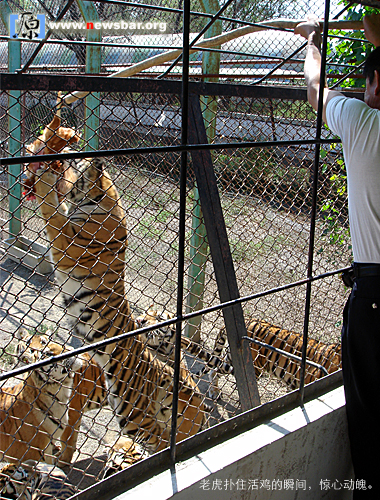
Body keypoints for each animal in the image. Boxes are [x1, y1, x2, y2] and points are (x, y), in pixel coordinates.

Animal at [32, 142, 209, 454]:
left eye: (75, 157)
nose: (64, 149)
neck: (96, 195)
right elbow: (58, 206)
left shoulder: (67, 242)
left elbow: (51, 210)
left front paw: (43, 178)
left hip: (131, 414)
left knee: (159, 438)